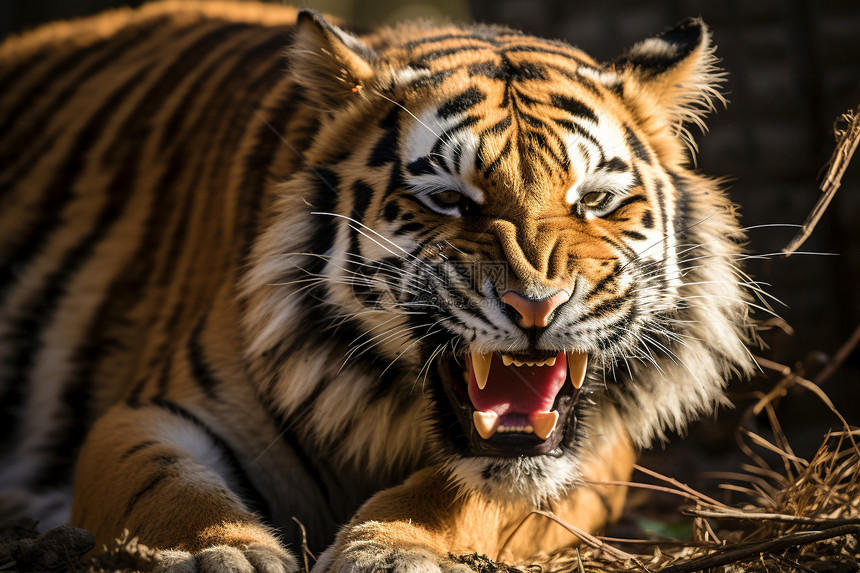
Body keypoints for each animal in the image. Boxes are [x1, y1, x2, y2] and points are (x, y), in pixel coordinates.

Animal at [0, 2, 752, 568]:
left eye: (594, 200)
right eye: (449, 200)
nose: (535, 307)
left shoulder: (593, 454)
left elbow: (464, 494)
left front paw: (390, 549)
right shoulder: (147, 413)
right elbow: (166, 486)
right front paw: (218, 551)